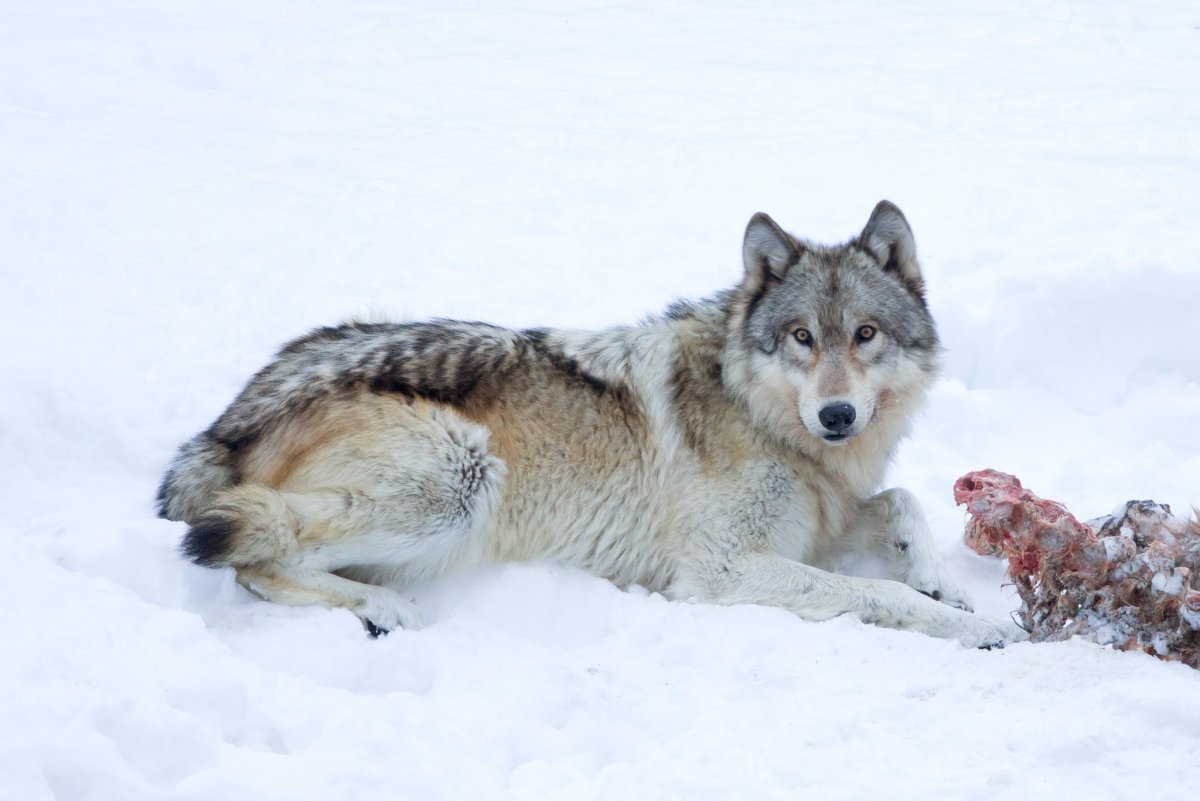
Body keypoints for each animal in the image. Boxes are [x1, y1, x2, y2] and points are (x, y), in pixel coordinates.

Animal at [157, 201, 1026, 647]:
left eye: (865, 334)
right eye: (802, 337)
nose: (837, 413)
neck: (764, 416)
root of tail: (226, 424)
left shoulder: (819, 521)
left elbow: (902, 503)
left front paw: (944, 577)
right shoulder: (719, 569)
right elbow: (874, 591)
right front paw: (975, 624)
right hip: (462, 478)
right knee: (248, 554)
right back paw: (384, 610)